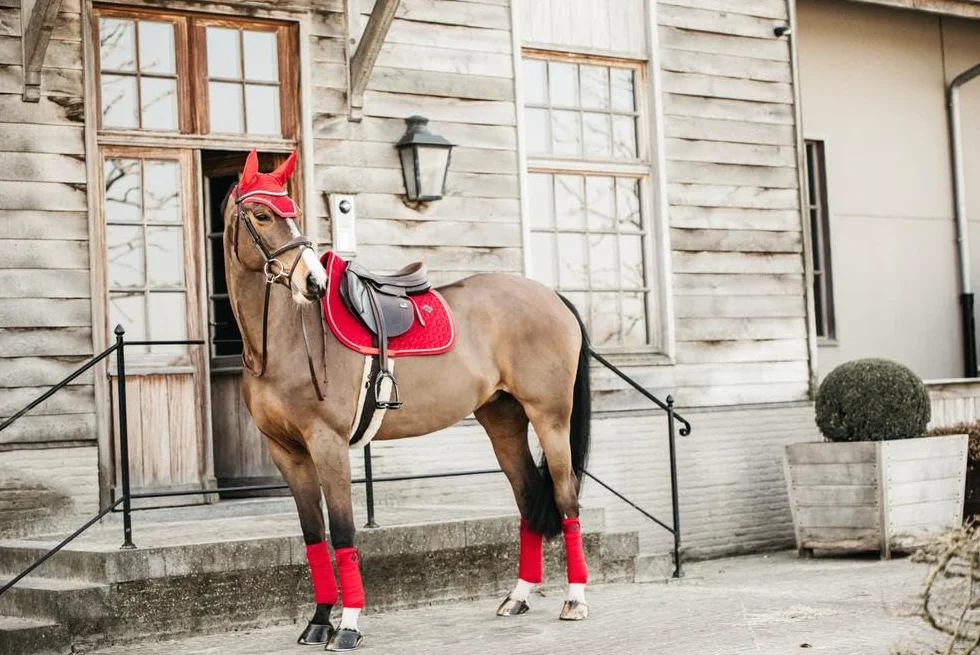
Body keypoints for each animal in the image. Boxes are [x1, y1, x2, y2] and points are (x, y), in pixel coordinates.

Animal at [223, 149, 592, 651]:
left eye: (293, 212)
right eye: (262, 215)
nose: (313, 282)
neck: (283, 341)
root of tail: (550, 295)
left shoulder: (328, 445)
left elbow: (343, 532)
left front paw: (349, 625)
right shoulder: (287, 453)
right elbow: (314, 536)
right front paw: (319, 621)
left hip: (550, 418)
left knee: (566, 498)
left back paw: (575, 599)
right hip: (504, 423)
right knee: (527, 499)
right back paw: (518, 596)